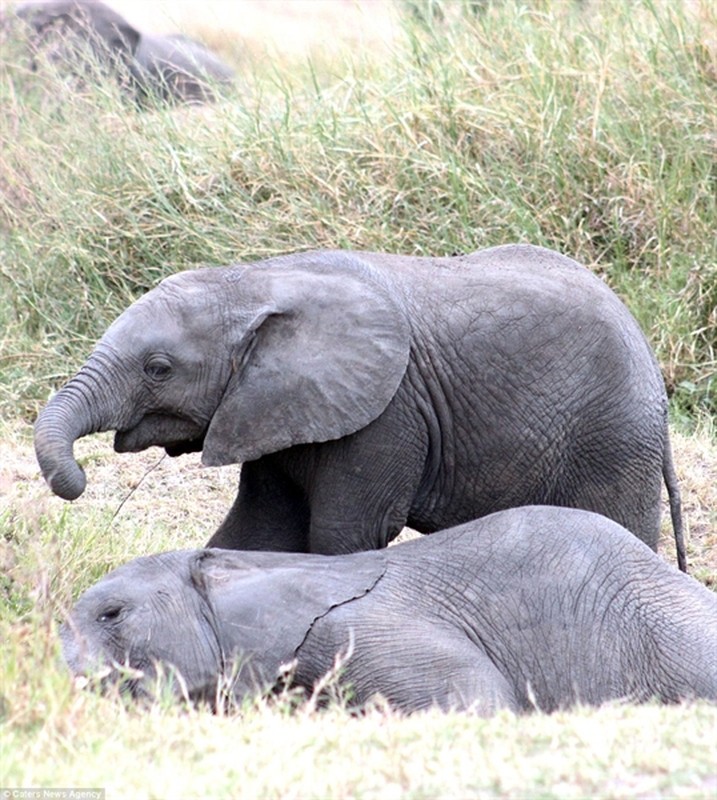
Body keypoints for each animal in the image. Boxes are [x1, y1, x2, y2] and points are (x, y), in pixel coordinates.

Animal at [35, 244, 684, 564]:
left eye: (159, 369)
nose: (78, 479)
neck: (256, 279)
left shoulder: (388, 414)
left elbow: (343, 534)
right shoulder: (273, 407)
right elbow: (257, 529)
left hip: (612, 436)